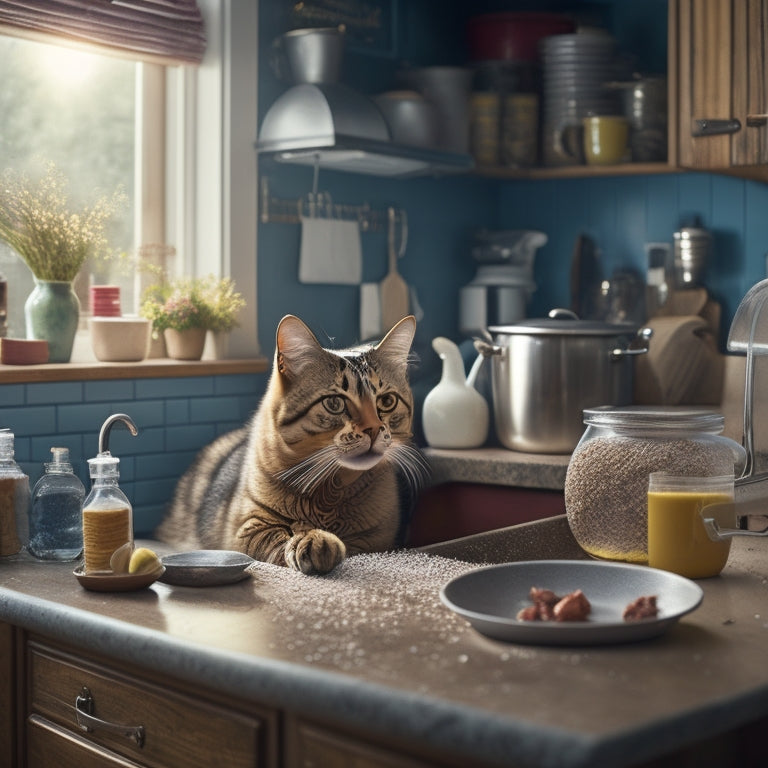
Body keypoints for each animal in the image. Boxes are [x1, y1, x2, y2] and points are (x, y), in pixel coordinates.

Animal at [155, 316, 426, 572]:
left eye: (387, 401)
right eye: (335, 403)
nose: (373, 429)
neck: (330, 490)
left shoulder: (378, 539)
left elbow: (358, 544)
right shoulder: (245, 528)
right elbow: (274, 538)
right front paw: (312, 540)